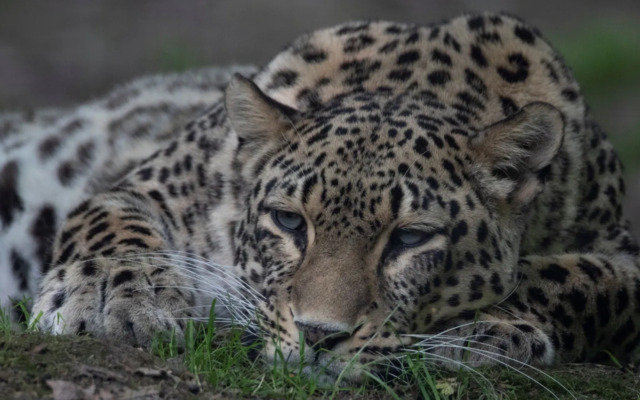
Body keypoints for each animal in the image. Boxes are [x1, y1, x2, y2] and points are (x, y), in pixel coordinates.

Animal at [2, 11, 639, 383]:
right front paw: (114, 299)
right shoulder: (149, 185)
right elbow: (109, 230)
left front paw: (486, 330)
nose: (317, 335)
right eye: (289, 223)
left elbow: (580, 279)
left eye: (410, 237)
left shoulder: (622, 252)